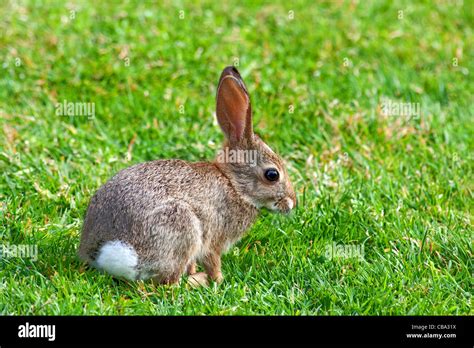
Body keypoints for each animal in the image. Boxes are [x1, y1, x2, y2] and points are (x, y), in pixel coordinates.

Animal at [79, 66, 296, 286]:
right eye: (272, 175)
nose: (292, 203)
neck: (233, 184)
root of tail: (107, 251)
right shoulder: (213, 239)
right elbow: (213, 260)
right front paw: (219, 279)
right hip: (181, 227)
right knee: (170, 283)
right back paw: (197, 281)